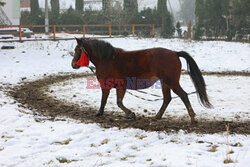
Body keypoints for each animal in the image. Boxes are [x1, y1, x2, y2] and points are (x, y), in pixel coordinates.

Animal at [71, 37, 212, 124]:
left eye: (78, 50)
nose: (73, 64)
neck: (107, 59)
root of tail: (174, 53)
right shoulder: (120, 86)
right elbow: (119, 102)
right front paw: (130, 114)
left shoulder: (106, 85)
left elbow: (105, 101)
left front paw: (100, 113)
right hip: (165, 83)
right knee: (167, 99)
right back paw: (158, 116)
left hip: (171, 82)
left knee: (183, 95)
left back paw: (192, 117)